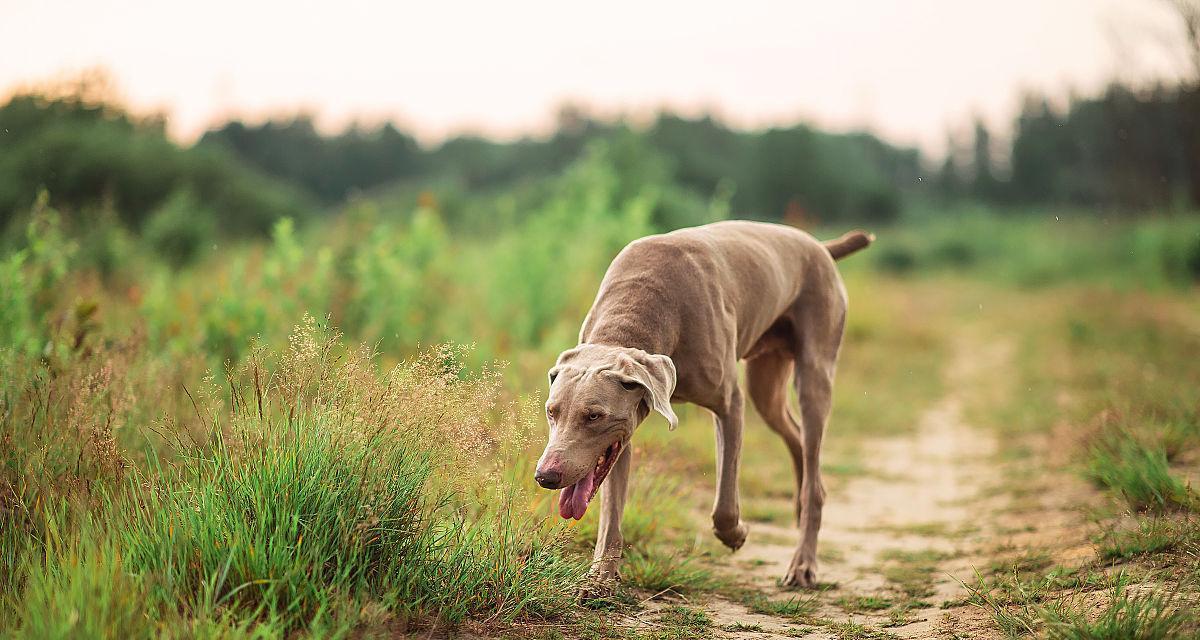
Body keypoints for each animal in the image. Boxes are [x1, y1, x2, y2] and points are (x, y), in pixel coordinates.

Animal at [535, 220, 873, 588]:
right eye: (551, 412)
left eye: (594, 416)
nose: (545, 476)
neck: (640, 310)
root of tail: (820, 247)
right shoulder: (621, 436)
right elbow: (611, 510)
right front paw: (600, 578)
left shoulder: (729, 404)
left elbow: (724, 504)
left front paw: (736, 534)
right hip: (765, 383)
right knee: (797, 438)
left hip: (814, 367)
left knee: (813, 462)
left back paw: (803, 563)